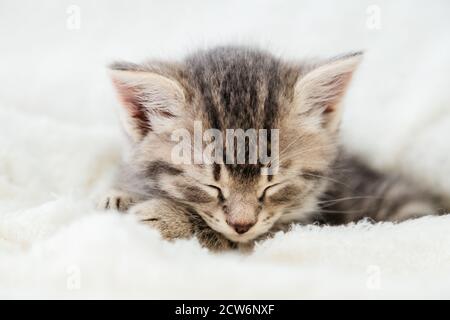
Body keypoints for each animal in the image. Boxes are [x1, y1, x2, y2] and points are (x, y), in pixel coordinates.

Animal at [99, 46, 442, 251]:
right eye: (209, 185)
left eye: (273, 185)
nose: (242, 225)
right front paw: (117, 196)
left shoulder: (292, 229)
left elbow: (238, 241)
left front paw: (166, 218)